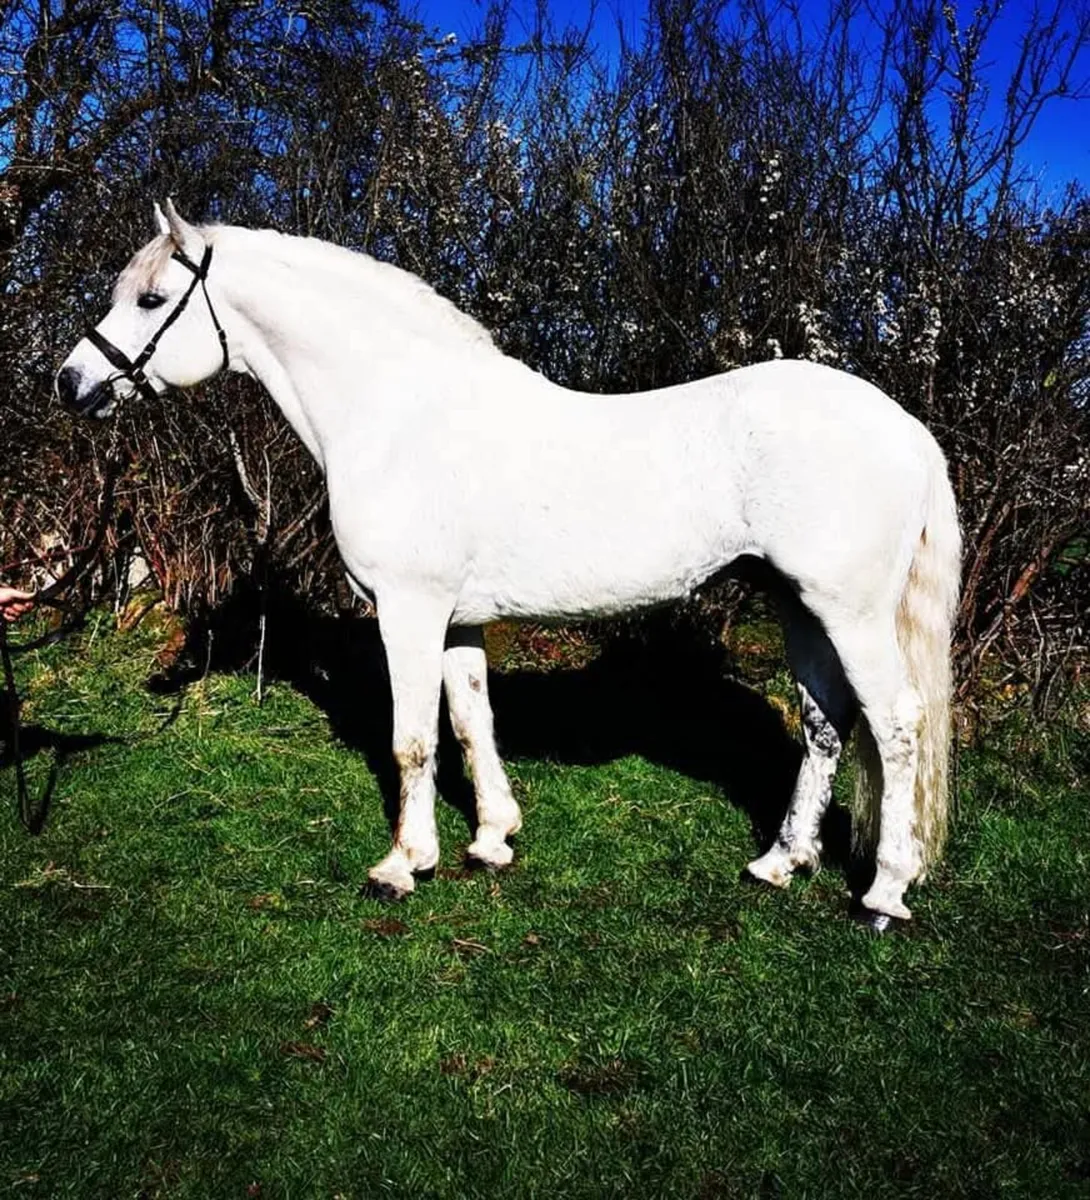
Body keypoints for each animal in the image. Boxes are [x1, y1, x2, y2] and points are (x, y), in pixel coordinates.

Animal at [55, 201, 961, 930]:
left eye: (150, 299)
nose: (71, 382)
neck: (399, 415)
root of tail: (905, 428)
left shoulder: (409, 611)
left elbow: (412, 739)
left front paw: (401, 865)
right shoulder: (458, 620)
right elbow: (469, 723)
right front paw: (491, 839)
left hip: (850, 613)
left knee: (897, 726)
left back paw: (884, 893)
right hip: (800, 606)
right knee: (823, 725)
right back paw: (780, 863)